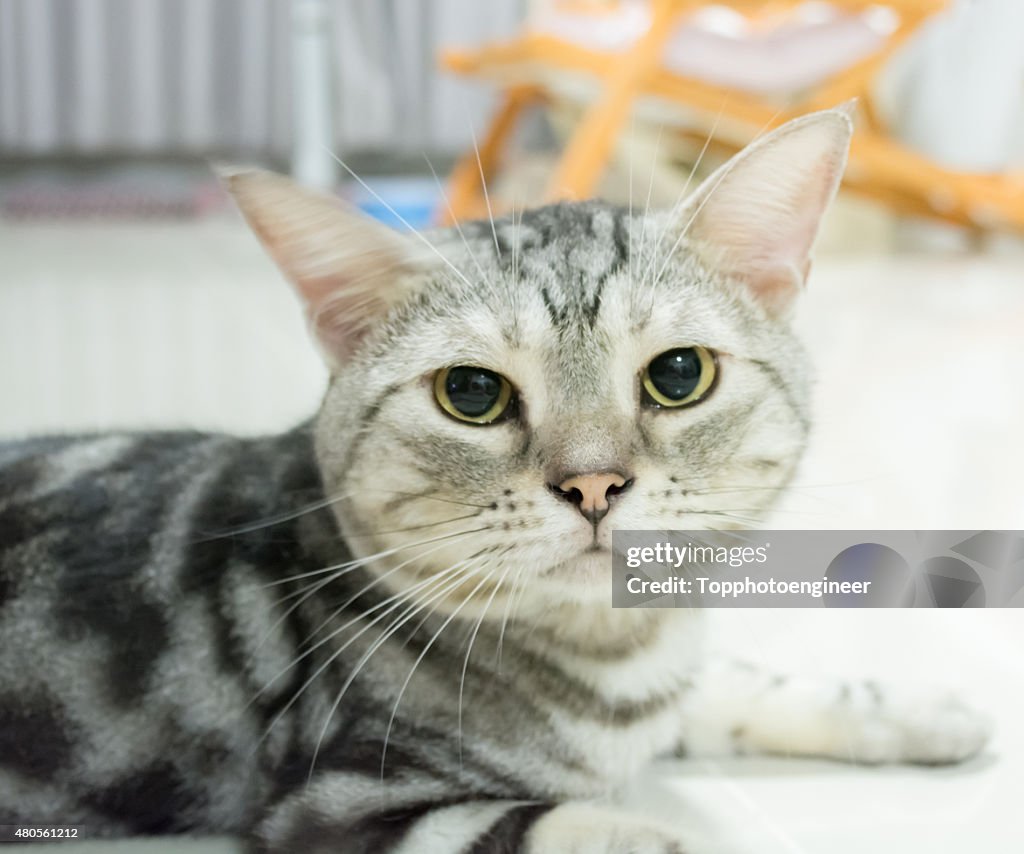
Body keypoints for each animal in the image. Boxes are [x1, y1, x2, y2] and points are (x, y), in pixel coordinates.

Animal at [0, 108, 991, 851]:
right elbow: (622, 834)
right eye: (471, 394)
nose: (594, 485)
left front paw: (921, 709)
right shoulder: (356, 806)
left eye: (679, 375)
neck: (620, 655)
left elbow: (737, 684)